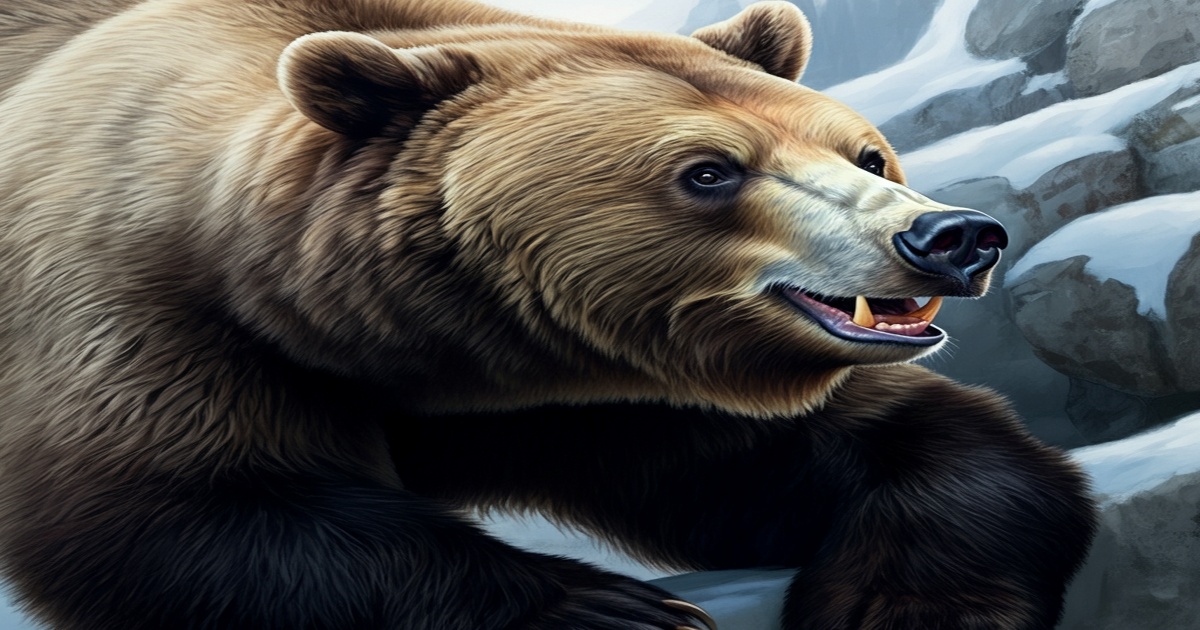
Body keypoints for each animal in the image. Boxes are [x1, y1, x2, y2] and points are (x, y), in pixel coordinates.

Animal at [0, 0, 1097, 628]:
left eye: (866, 152)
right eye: (710, 171)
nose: (951, 236)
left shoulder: (611, 386)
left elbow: (894, 448)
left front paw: (898, 603)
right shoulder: (155, 295)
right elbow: (168, 505)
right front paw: (607, 608)